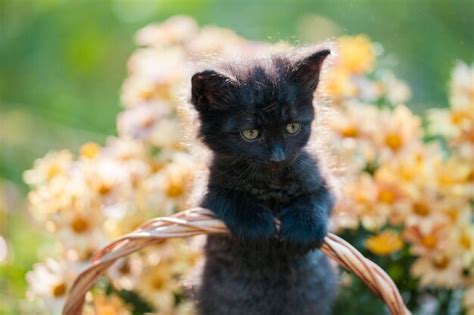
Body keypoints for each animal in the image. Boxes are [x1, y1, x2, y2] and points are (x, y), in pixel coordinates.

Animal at [191, 47, 336, 315]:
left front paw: (303, 229)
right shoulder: (204, 195)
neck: (271, 184)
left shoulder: (324, 181)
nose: (278, 156)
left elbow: (315, 200)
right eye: (251, 134)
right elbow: (231, 198)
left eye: (292, 127)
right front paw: (257, 227)